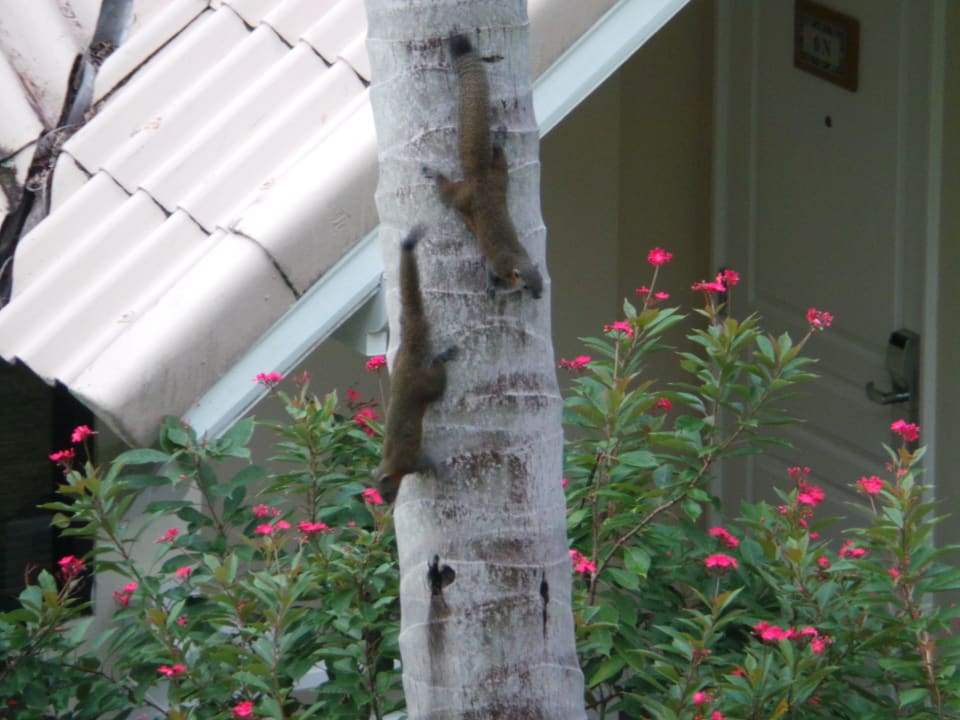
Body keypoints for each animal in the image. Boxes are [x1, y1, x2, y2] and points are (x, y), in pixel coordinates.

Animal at [375, 226, 458, 503]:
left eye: (385, 491)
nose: (387, 503)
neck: (391, 465)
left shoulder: (409, 460)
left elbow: (427, 461)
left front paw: (439, 471)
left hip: (424, 385)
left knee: (438, 381)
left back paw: (442, 357)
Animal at [425, 33, 543, 299]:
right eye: (527, 285)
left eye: (542, 281)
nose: (539, 296)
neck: (516, 261)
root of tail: (479, 179)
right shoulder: (498, 264)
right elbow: (489, 271)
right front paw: (490, 287)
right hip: (463, 198)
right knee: (446, 192)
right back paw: (433, 173)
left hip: (500, 179)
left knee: (499, 159)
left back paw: (499, 140)